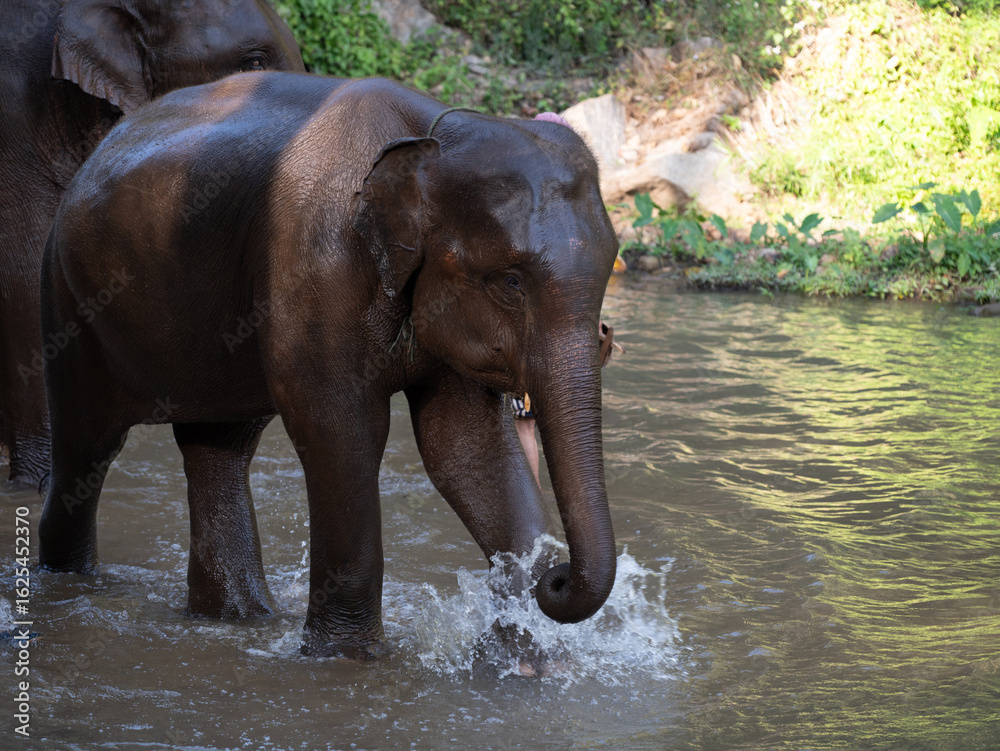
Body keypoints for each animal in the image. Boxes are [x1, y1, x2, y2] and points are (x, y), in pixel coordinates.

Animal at [38, 72, 620, 660]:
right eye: (510, 281)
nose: (555, 576)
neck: (436, 138)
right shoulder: (317, 263)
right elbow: (342, 431)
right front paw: (346, 659)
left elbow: (465, 449)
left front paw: (521, 662)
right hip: (66, 299)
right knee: (86, 452)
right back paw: (67, 587)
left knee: (218, 448)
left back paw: (235, 619)